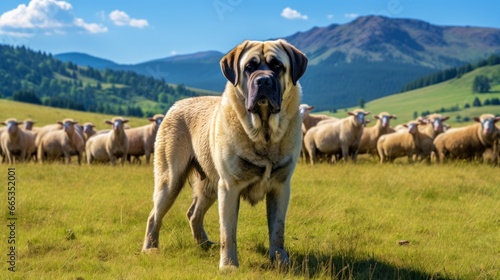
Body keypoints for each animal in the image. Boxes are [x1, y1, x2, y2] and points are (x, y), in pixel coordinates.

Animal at [142, 39, 308, 270]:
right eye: (249, 67)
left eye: (277, 66)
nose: (263, 81)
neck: (263, 134)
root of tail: (176, 105)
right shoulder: (229, 187)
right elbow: (228, 232)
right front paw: (229, 265)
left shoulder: (280, 187)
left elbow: (277, 230)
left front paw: (280, 260)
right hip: (170, 180)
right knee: (154, 215)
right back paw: (150, 249)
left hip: (210, 185)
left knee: (193, 214)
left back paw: (203, 244)